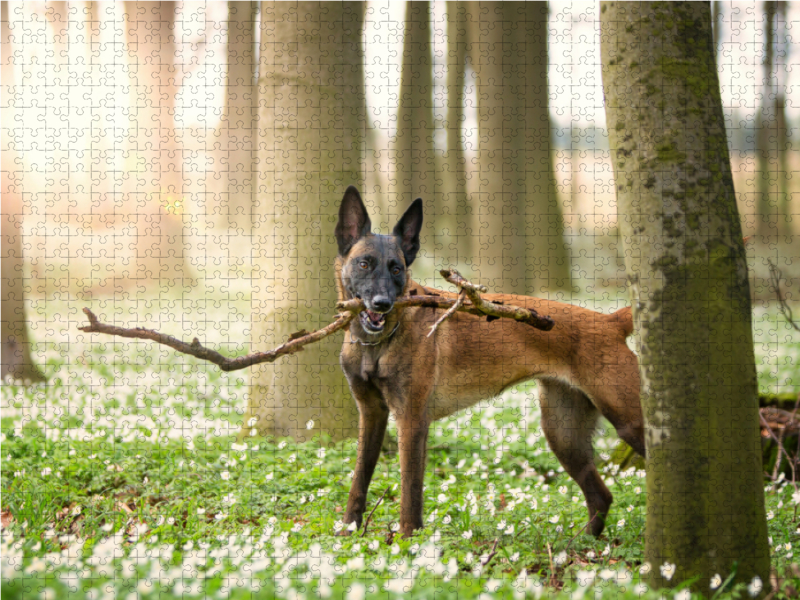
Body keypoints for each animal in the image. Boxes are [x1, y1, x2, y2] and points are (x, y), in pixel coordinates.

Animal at [332, 185, 644, 536]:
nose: (382, 303)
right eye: (364, 264)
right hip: (563, 436)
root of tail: (609, 321)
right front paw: (348, 529)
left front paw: (408, 539)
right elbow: (359, 477)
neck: (376, 344)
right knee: (601, 495)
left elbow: (410, 491)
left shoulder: (411, 421)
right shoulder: (371, 414)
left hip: (630, 422)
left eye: (396, 269)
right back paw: (583, 543)